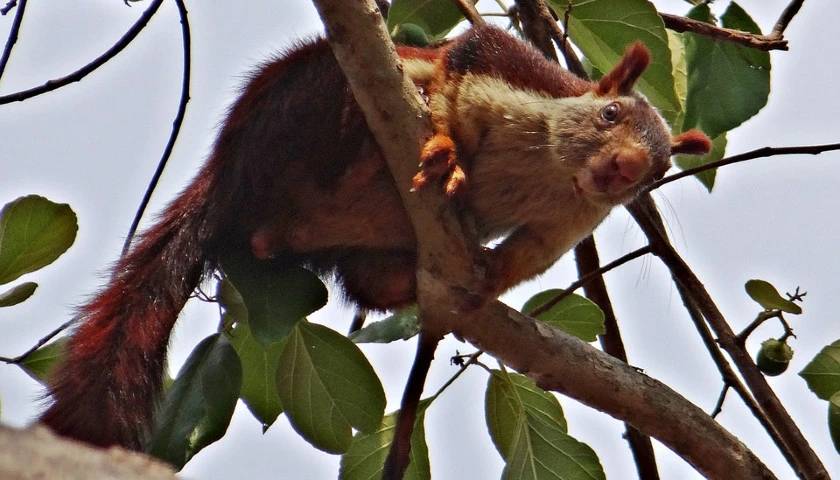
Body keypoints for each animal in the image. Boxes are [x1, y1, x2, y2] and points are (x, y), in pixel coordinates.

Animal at [39, 25, 708, 454]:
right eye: (610, 114)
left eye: (656, 173)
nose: (624, 170)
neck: (554, 174)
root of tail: (225, 182)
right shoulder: (514, 69)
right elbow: (460, 69)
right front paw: (447, 147)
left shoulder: (568, 223)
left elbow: (527, 256)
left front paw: (489, 280)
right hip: (305, 103)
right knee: (380, 93)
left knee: (360, 281)